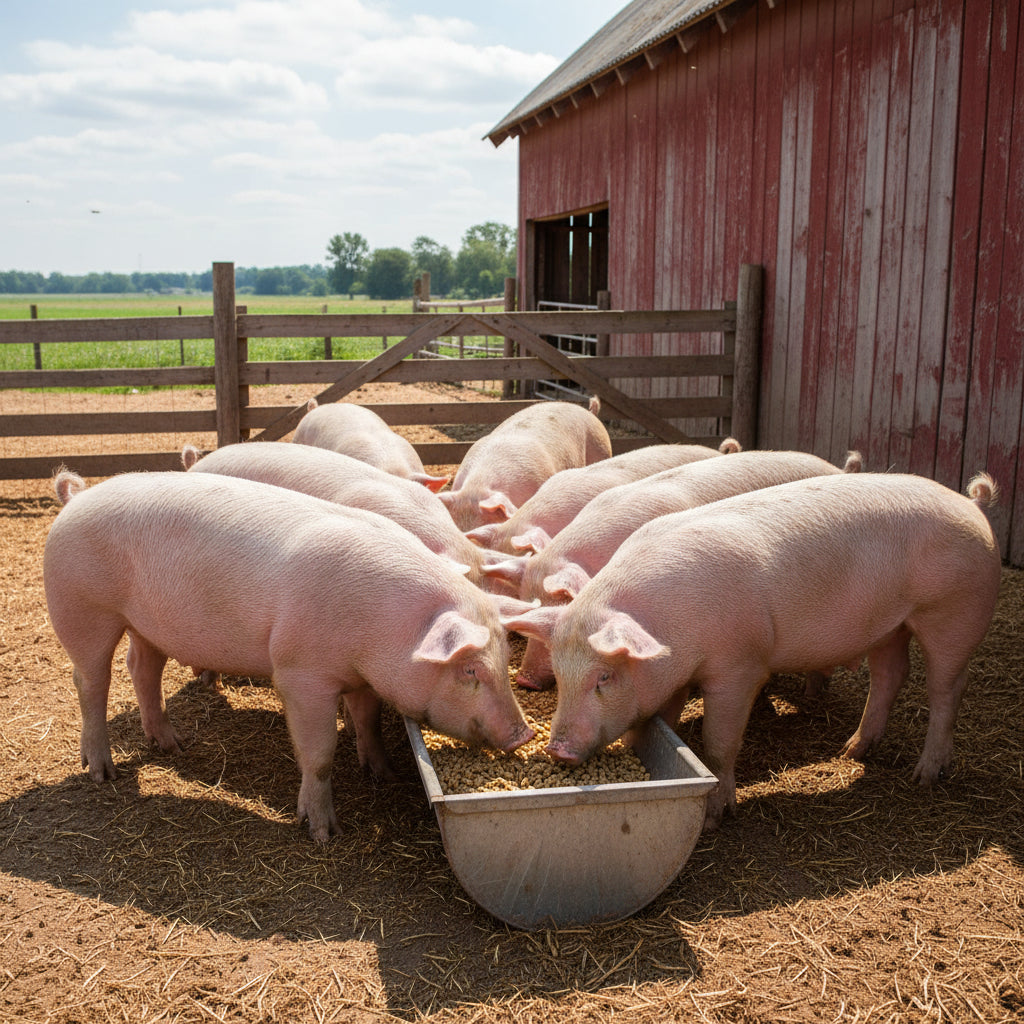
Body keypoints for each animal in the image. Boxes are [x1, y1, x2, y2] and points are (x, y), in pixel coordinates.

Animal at [44, 469, 534, 844]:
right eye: (469, 669)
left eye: (503, 660)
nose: (523, 734)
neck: (382, 627)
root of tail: (76, 498)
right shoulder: (301, 673)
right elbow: (318, 754)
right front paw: (323, 833)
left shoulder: (361, 675)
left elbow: (368, 721)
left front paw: (385, 773)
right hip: (82, 607)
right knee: (90, 681)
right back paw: (102, 772)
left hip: (147, 624)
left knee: (142, 670)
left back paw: (174, 745)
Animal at [502, 471, 1001, 832]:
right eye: (561, 675)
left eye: (604, 676)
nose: (558, 750)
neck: (672, 629)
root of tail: (972, 506)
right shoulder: (674, 676)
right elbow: (661, 724)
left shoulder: (739, 666)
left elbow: (719, 743)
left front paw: (716, 817)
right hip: (890, 624)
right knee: (890, 674)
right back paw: (852, 751)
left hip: (953, 611)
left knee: (947, 689)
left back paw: (925, 776)